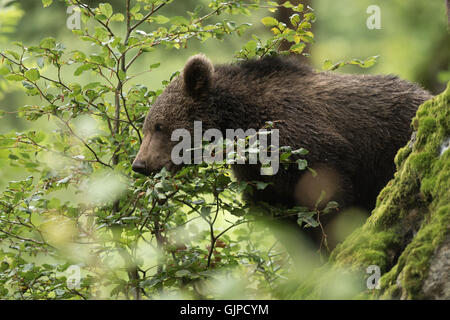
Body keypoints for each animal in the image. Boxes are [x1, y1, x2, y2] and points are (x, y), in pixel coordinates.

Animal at [133, 54, 432, 245]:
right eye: (146, 127)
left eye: (159, 126)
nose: (139, 164)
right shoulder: (260, 178)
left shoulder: (307, 147)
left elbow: (329, 204)